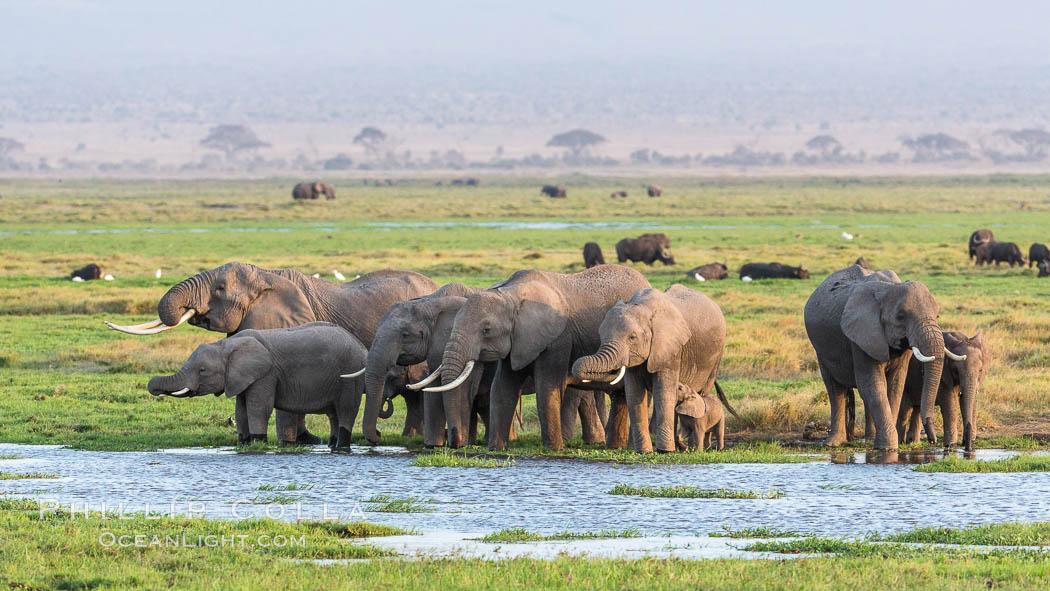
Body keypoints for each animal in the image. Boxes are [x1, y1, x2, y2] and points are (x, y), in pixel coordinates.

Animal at [148, 323, 367, 449]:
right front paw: (244, 443)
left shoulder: (265, 374)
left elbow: (258, 408)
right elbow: (240, 410)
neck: (225, 346)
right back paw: (332, 445)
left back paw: (341, 447)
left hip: (350, 374)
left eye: (202, 370)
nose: (153, 388)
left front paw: (258, 442)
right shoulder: (241, 376)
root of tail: (361, 347)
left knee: (346, 409)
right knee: (334, 414)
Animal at [422, 265, 651, 451]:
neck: (510, 294)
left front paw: (554, 449)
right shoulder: (518, 340)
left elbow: (547, 387)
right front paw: (496, 449)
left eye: (486, 330)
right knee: (620, 396)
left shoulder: (558, 338)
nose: (455, 443)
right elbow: (502, 389)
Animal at [575, 287, 739, 453]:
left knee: (701, 394)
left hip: (715, 357)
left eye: (632, 337)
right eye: (600, 335)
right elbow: (634, 395)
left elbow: (663, 394)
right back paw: (680, 446)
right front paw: (644, 451)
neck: (644, 307)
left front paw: (665, 451)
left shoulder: (671, 348)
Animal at [802, 263, 953, 449]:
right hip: (821, 350)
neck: (888, 289)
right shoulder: (860, 336)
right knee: (835, 390)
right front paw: (888, 448)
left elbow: (895, 386)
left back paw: (869, 439)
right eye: (901, 316)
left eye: (937, 315)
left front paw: (886, 445)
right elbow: (873, 385)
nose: (933, 440)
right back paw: (833, 443)